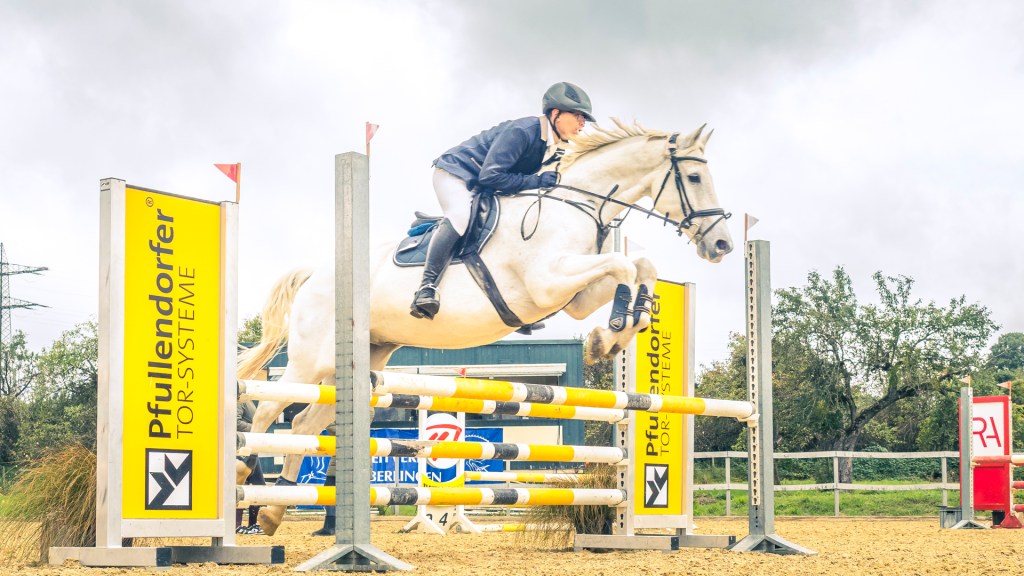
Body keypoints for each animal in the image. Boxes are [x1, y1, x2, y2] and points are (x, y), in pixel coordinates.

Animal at [237, 120, 734, 535]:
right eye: (694, 178)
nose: (722, 245)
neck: (577, 206)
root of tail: (317, 274)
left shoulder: (573, 296)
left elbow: (640, 267)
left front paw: (617, 331)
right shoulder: (549, 280)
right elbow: (624, 264)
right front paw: (609, 334)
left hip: (356, 364)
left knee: (305, 421)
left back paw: (274, 510)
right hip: (309, 358)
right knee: (267, 411)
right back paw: (244, 474)